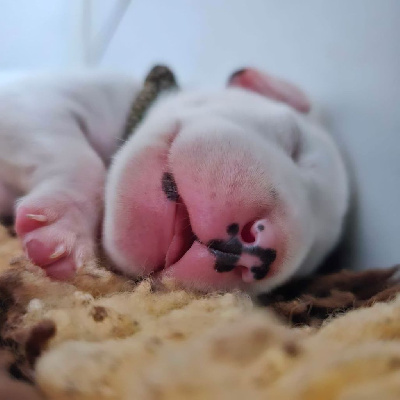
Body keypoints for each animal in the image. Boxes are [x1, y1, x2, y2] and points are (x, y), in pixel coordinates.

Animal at [0, 69, 348, 294]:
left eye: (305, 264)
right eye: (295, 144)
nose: (261, 253)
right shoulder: (32, 101)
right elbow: (81, 160)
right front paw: (64, 230)